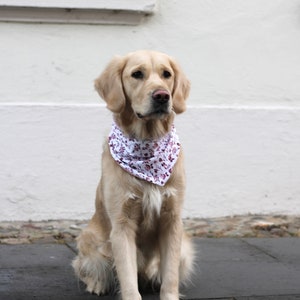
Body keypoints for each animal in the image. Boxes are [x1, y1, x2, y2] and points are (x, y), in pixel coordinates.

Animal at [72, 50, 195, 298]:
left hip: (185, 249)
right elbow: (128, 280)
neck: (147, 141)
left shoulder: (172, 220)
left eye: (166, 74)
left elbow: (170, 277)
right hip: (89, 239)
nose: (162, 96)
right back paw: (97, 284)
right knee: (84, 266)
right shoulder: (122, 224)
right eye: (137, 74)